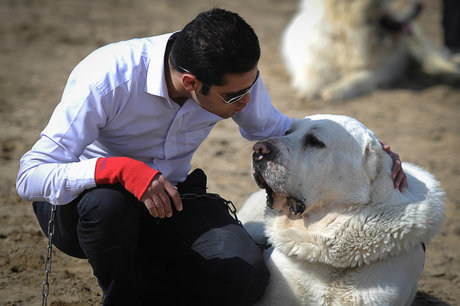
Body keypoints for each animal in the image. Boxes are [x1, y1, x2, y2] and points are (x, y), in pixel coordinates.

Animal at [282, 0, 460, 101]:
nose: (420, 6)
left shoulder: (378, 70)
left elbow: (357, 79)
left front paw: (335, 90)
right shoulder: (313, 61)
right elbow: (312, 78)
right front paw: (307, 91)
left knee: (435, 63)